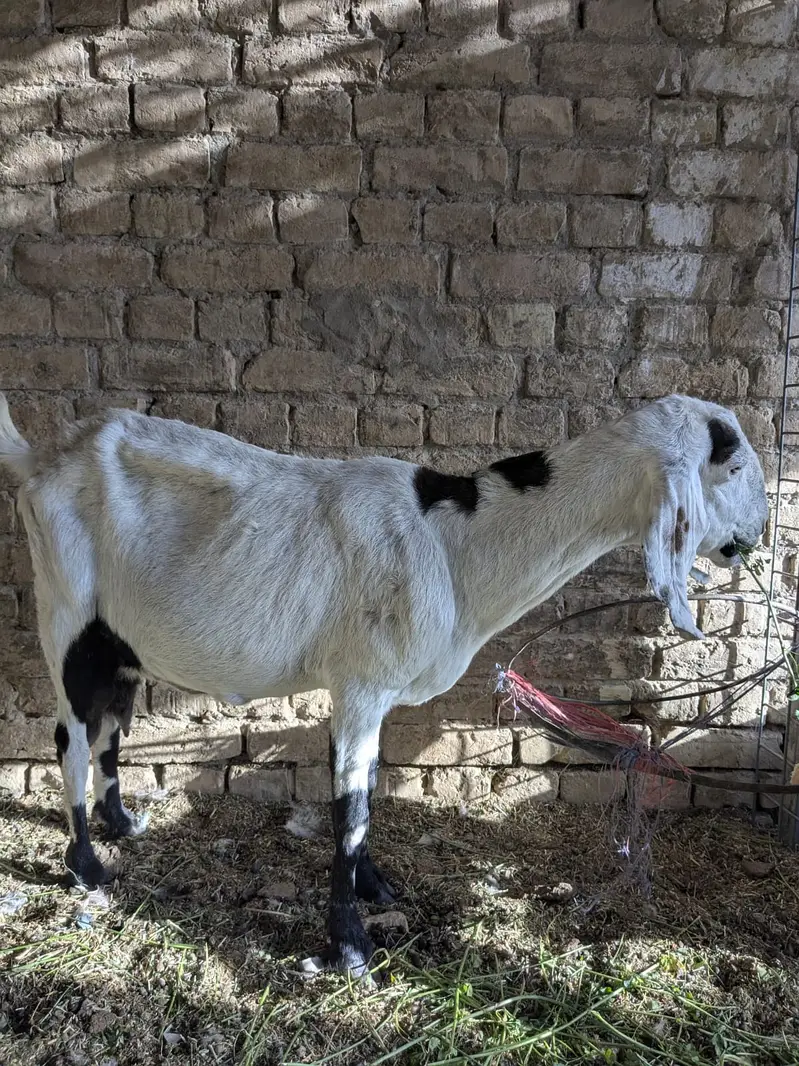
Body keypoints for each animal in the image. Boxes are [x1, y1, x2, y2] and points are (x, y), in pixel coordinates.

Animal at [0, 393, 768, 976]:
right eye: (730, 465)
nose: (761, 530)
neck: (458, 544)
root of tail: (42, 458)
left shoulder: (376, 691)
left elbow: (369, 784)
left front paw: (375, 887)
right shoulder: (360, 682)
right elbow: (352, 806)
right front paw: (348, 948)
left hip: (120, 639)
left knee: (108, 725)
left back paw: (122, 824)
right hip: (66, 609)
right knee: (70, 735)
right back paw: (86, 864)